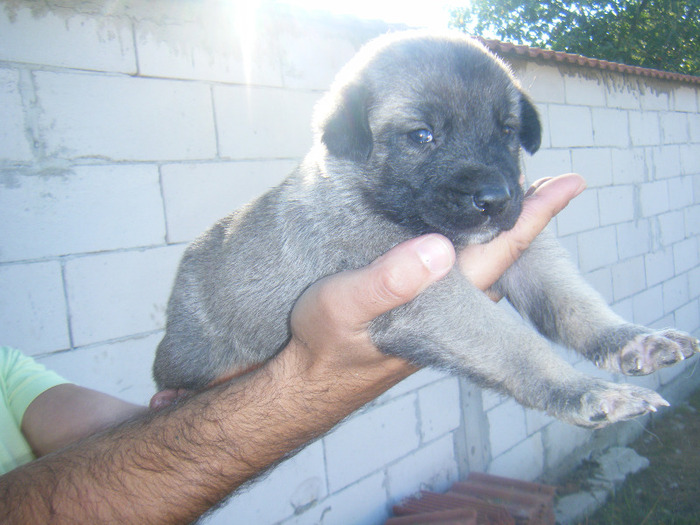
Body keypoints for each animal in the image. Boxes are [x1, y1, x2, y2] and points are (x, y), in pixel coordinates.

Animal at [154, 30, 700, 426]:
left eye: (507, 130)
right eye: (421, 135)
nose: (497, 201)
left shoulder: (530, 256)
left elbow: (575, 306)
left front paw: (629, 339)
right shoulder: (430, 298)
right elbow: (515, 345)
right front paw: (582, 390)